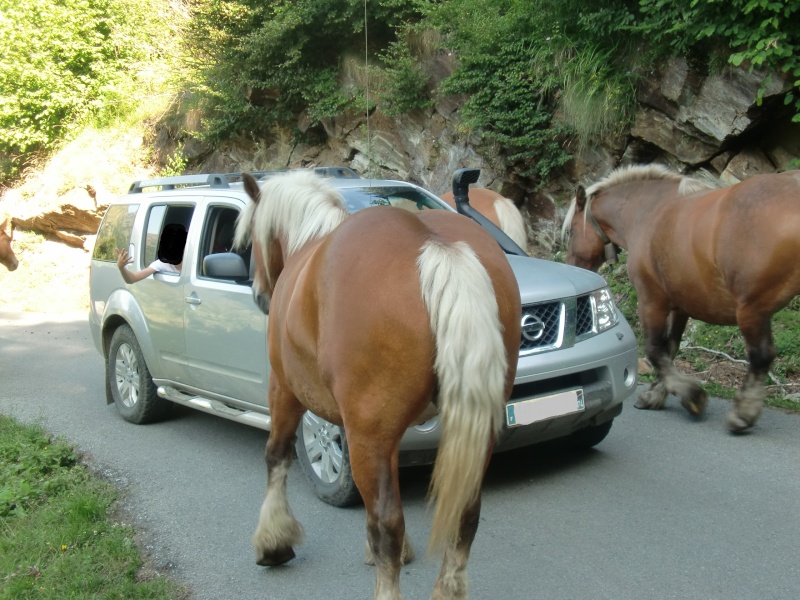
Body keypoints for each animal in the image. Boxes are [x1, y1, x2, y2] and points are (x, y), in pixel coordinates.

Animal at [233, 171, 520, 596]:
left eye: (252, 237)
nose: (259, 295)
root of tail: (435, 246)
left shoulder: (285, 392)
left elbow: (276, 457)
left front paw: (273, 540)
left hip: (363, 429)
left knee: (388, 522)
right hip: (472, 429)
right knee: (464, 515)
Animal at [564, 164, 800, 434]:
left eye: (571, 231)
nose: (571, 267)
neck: (647, 211)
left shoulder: (651, 301)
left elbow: (655, 349)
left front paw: (691, 395)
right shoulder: (680, 307)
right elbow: (670, 349)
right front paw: (657, 393)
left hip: (751, 310)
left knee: (761, 356)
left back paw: (743, 414)